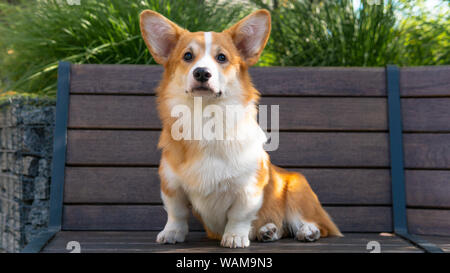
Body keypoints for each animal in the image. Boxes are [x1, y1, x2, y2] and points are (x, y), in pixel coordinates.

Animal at [141, 9, 342, 246]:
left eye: (222, 57)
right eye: (187, 56)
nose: (201, 73)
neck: (206, 117)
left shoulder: (248, 188)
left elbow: (239, 215)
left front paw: (235, 237)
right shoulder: (171, 185)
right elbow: (176, 213)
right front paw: (172, 233)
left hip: (297, 189)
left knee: (317, 224)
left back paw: (308, 231)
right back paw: (268, 231)